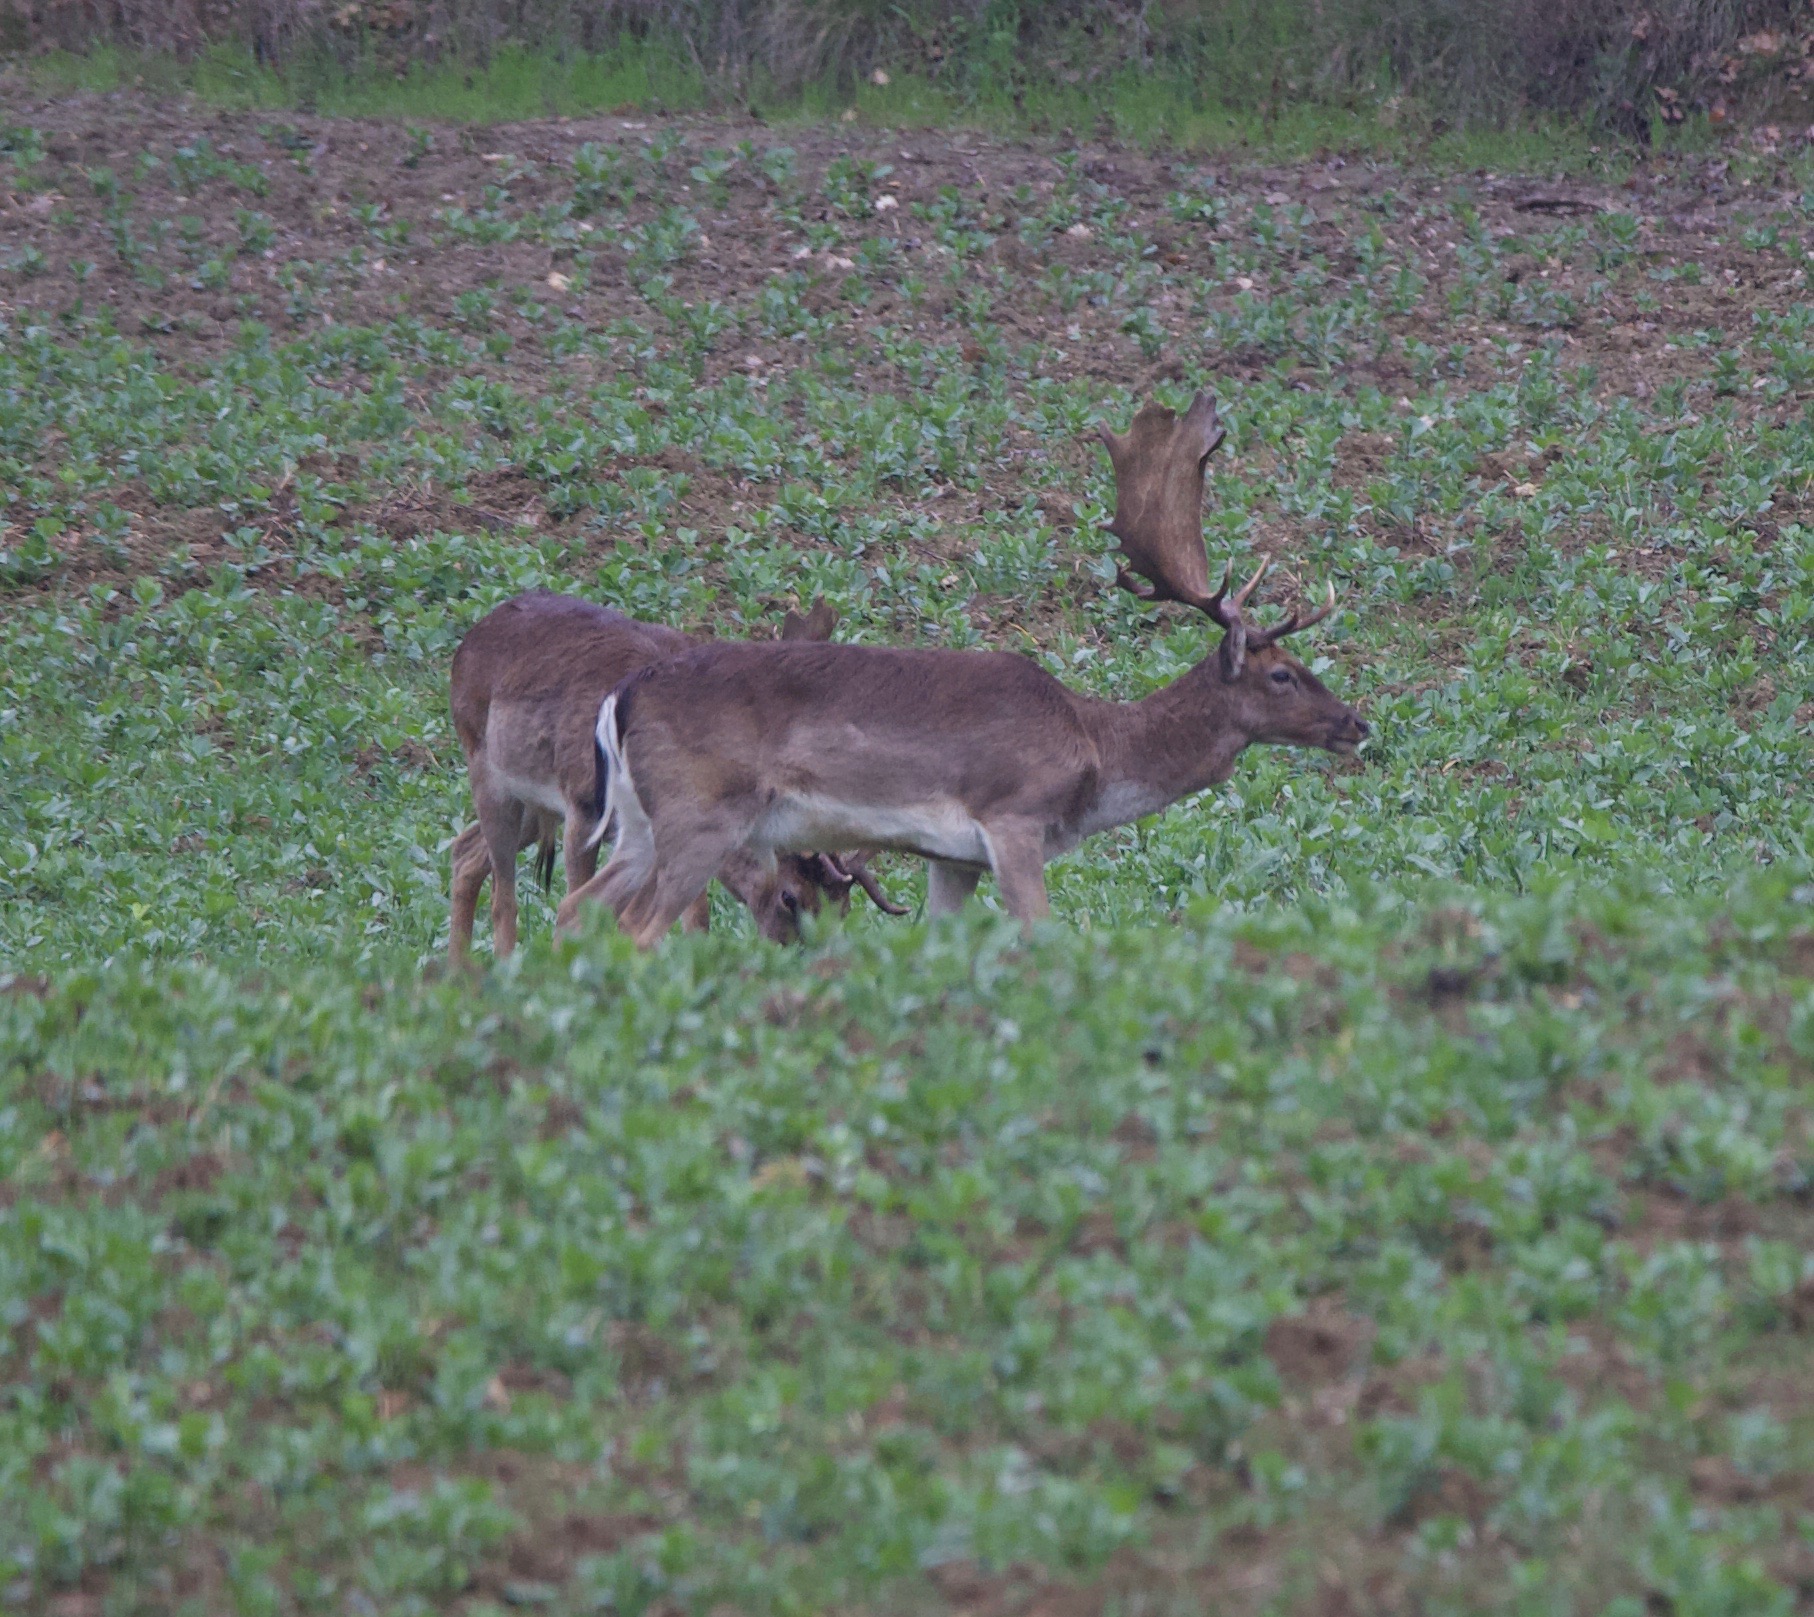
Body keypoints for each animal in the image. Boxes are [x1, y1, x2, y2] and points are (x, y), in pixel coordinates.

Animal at [448, 591, 902, 963]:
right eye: (790, 896)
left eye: (843, 910)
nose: (789, 952)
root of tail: (470, 638)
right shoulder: (582, 804)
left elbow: (689, 919)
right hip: (485, 764)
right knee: (503, 895)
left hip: (531, 804)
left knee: (465, 850)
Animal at [553, 392, 1368, 948]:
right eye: (1282, 673)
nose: (1357, 723)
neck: (1096, 755)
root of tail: (620, 699)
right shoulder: (1014, 815)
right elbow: (1041, 933)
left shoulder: (952, 857)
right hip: (702, 811)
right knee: (639, 925)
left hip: (639, 819)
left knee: (577, 906)